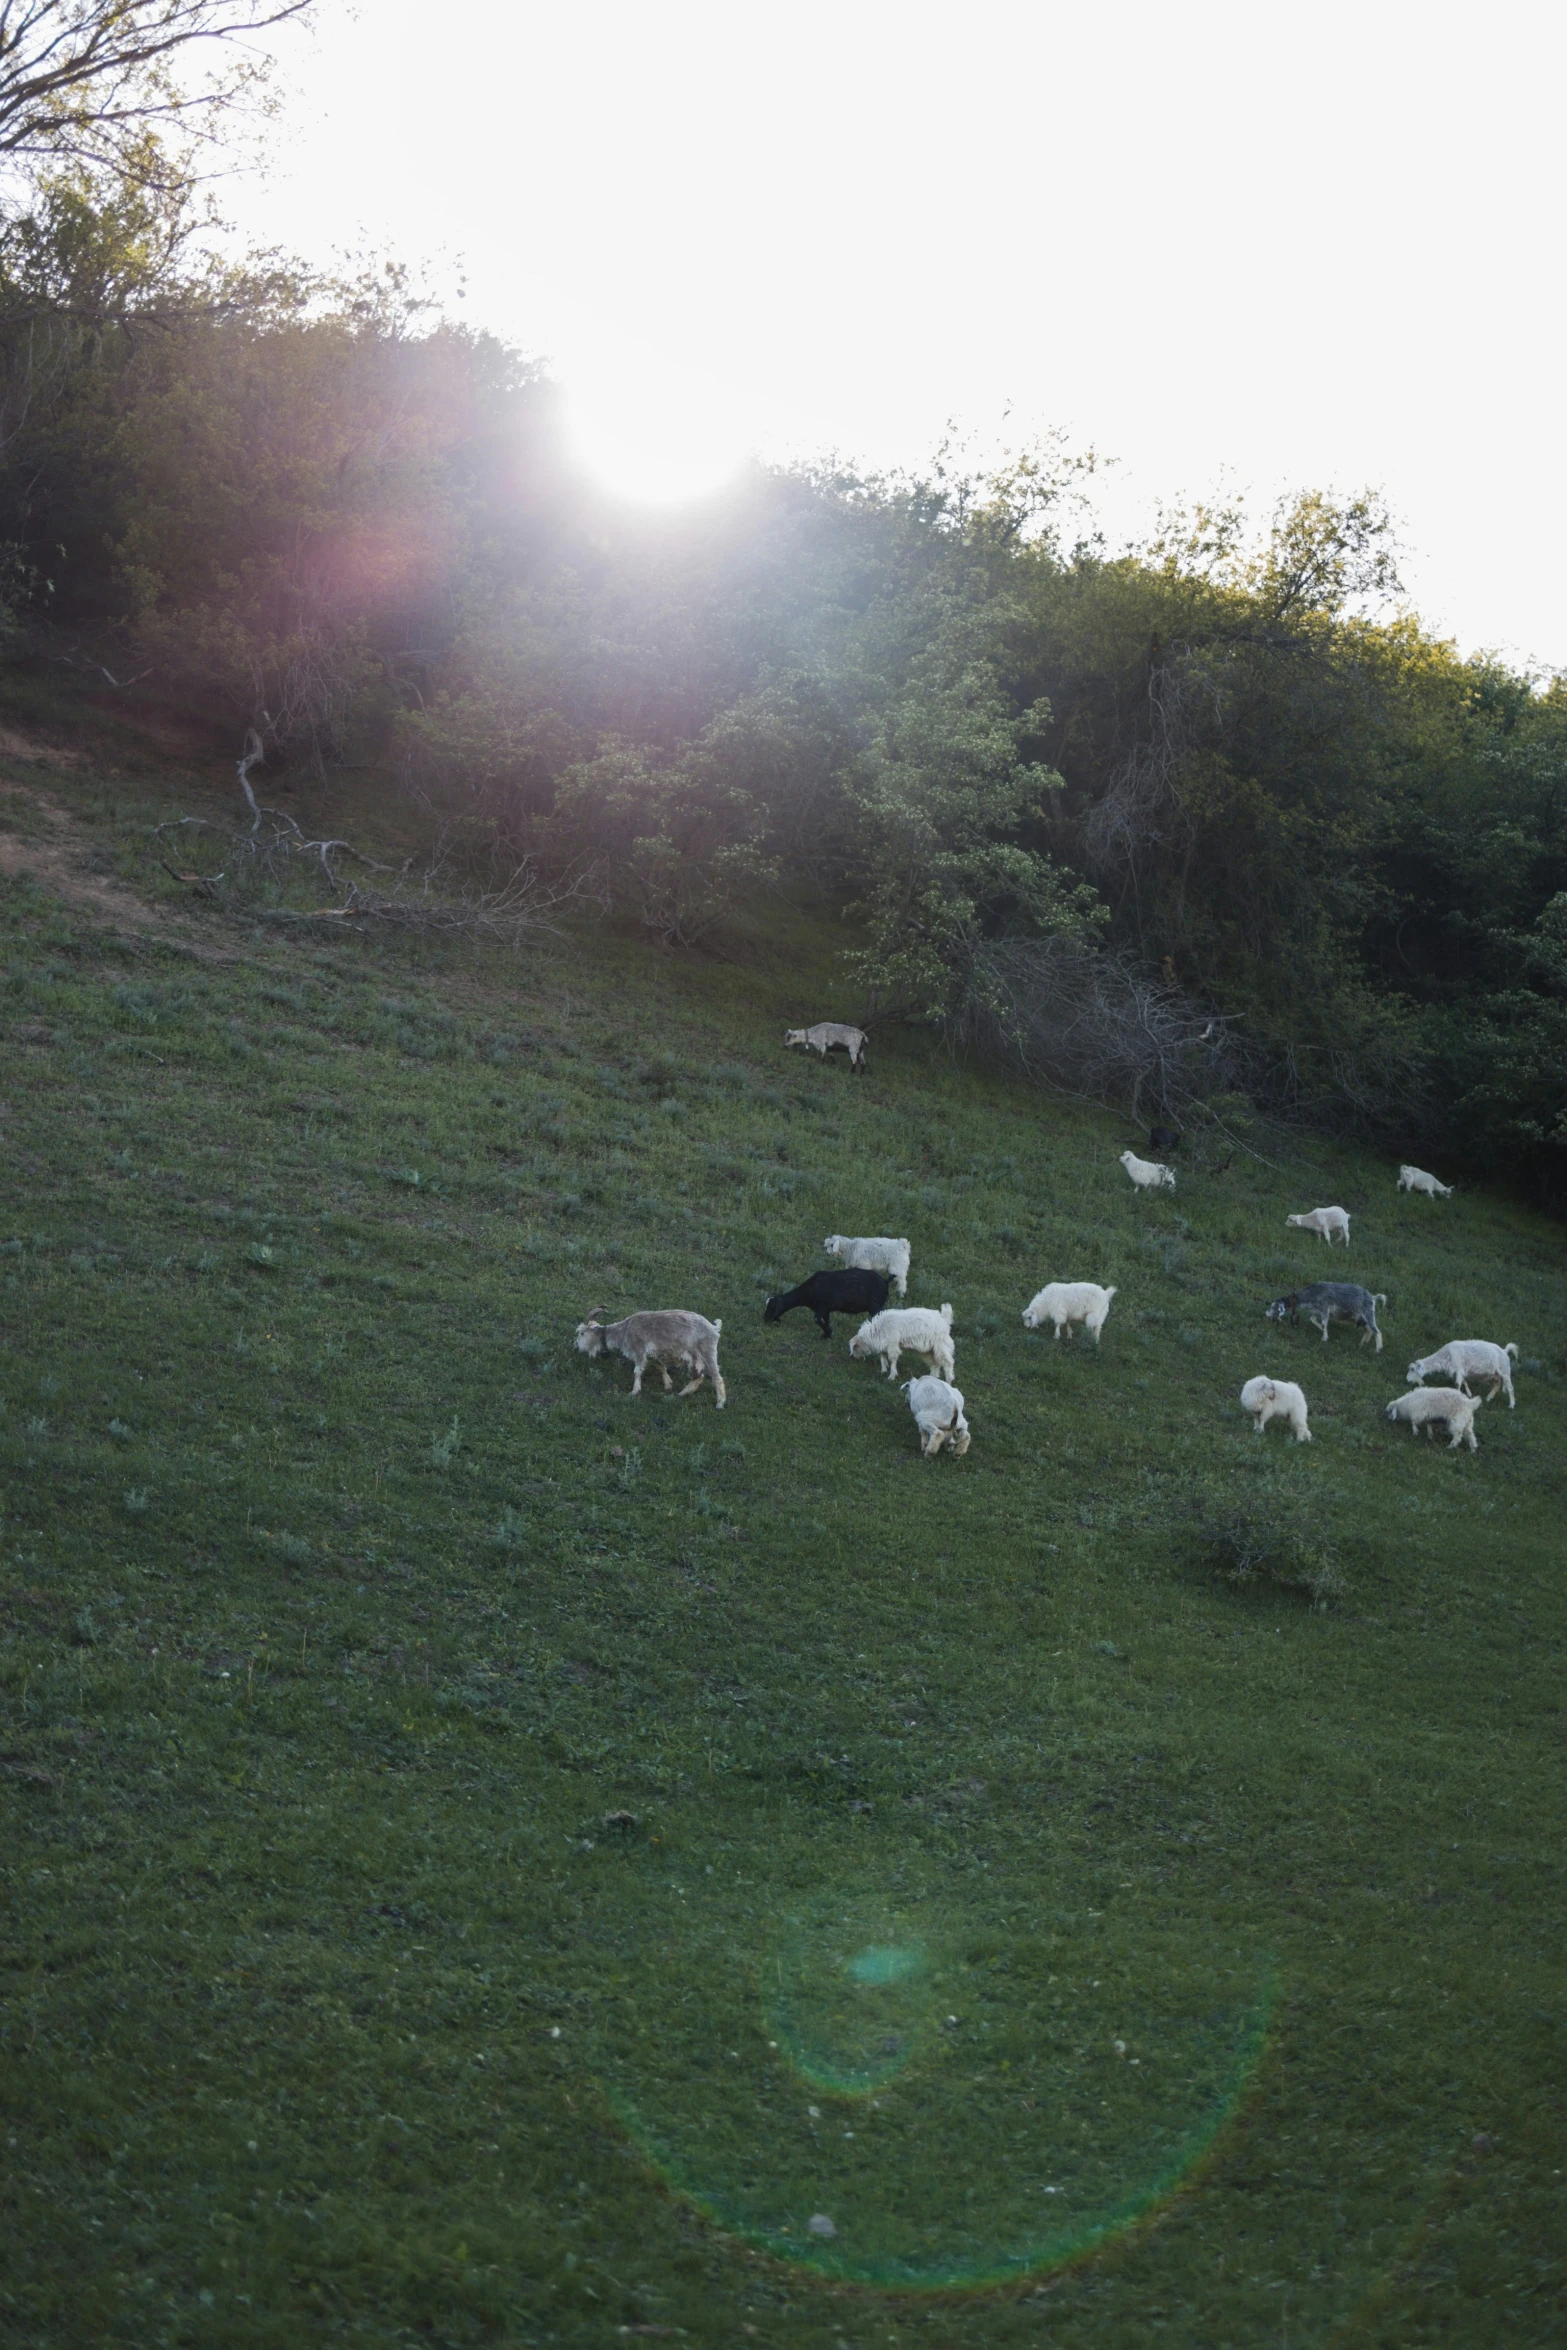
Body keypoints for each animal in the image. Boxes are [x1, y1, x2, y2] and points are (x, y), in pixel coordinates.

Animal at [573, 1306, 728, 1410]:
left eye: (581, 1333)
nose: (575, 1347)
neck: (623, 1331)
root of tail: (714, 1328)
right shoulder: (652, 1355)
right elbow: (660, 1367)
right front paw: (668, 1384)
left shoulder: (639, 1350)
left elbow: (637, 1371)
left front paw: (634, 1392)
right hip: (695, 1358)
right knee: (698, 1377)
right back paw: (681, 1394)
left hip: (707, 1352)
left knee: (717, 1378)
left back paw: (719, 1403)